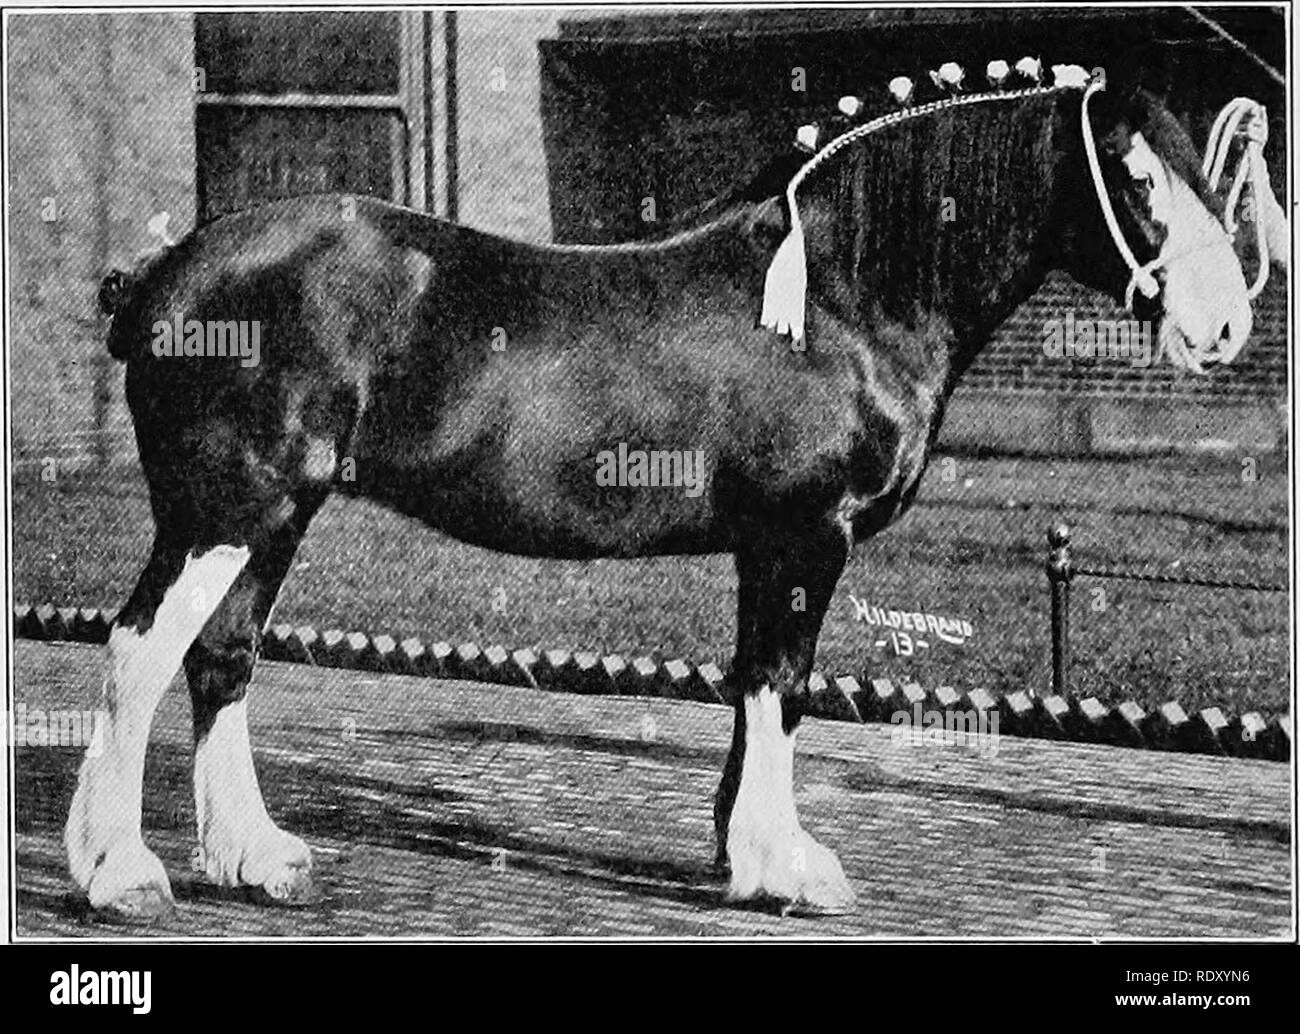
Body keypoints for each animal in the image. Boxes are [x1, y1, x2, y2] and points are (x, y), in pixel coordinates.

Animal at [71, 68, 1256, 920]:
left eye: (1203, 168)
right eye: (1134, 177)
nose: (1227, 323)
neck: (841, 295)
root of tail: (163, 274)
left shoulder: (765, 545)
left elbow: (751, 688)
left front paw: (739, 852)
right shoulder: (804, 535)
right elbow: (781, 684)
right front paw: (787, 869)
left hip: (272, 518)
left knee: (220, 659)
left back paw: (256, 859)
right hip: (224, 514)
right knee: (139, 650)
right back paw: (123, 873)